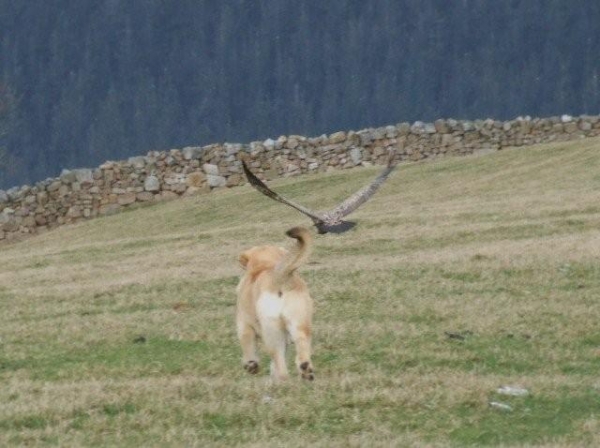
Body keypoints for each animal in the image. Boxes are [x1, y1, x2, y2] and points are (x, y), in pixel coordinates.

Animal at [237, 228, 316, 382]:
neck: (264, 264)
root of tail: (278, 276)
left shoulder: (244, 325)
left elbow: (248, 346)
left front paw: (251, 365)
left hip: (272, 333)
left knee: (280, 364)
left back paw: (281, 382)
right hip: (300, 323)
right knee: (301, 350)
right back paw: (305, 371)